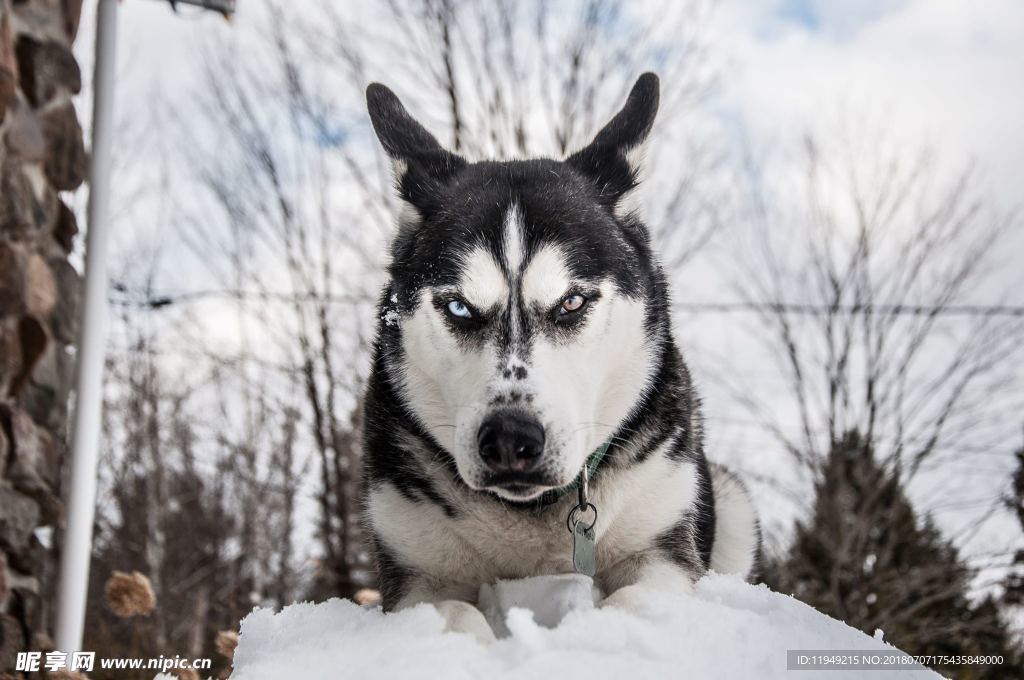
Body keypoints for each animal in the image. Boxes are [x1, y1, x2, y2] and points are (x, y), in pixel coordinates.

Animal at [364, 74, 757, 643]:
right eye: (459, 306)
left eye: (571, 302)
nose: (510, 438)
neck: (530, 516)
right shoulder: (418, 573)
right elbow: (451, 615)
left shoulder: (659, 552)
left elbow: (633, 603)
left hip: (732, 502)